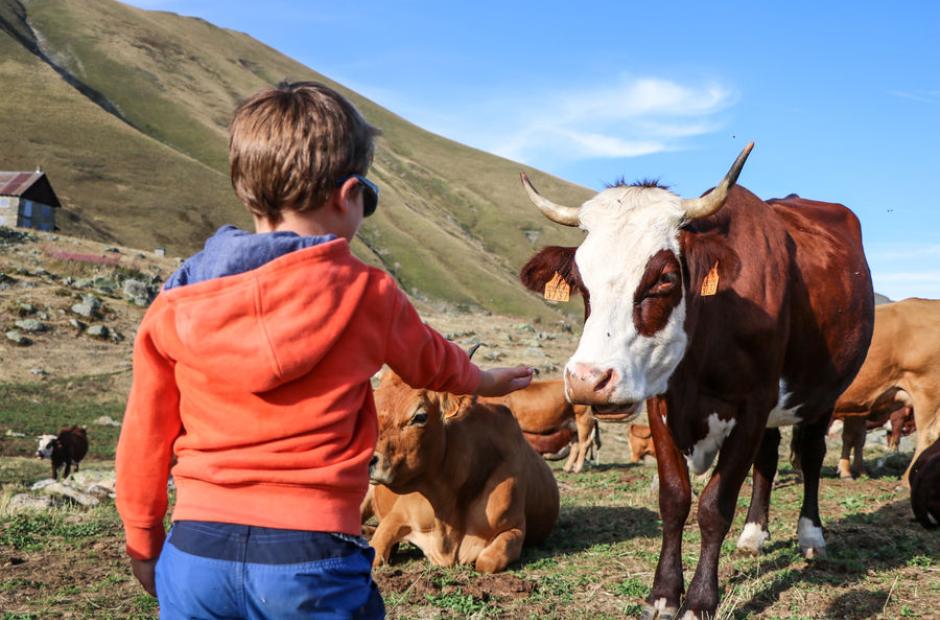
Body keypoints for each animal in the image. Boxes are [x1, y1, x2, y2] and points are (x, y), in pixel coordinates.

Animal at [517, 143, 874, 619]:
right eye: (578, 280)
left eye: (665, 278)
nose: (588, 381)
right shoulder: (661, 403)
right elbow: (674, 499)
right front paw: (664, 593)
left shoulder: (752, 405)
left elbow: (714, 507)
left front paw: (701, 599)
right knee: (767, 457)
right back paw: (754, 533)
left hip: (824, 393)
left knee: (813, 454)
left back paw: (810, 535)